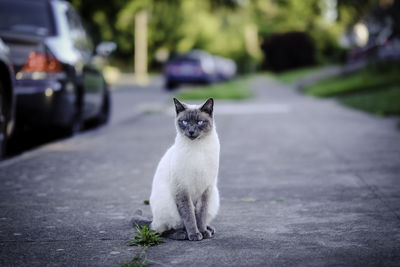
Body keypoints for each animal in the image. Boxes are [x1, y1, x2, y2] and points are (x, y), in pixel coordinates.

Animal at [149, 98, 220, 241]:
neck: (197, 148)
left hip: (214, 197)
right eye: (185, 122)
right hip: (167, 206)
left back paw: (209, 229)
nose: (191, 131)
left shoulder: (206, 189)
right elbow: (189, 216)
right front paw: (194, 234)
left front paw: (202, 232)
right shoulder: (182, 189)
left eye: (199, 122)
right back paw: (182, 234)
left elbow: (201, 215)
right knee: (162, 229)